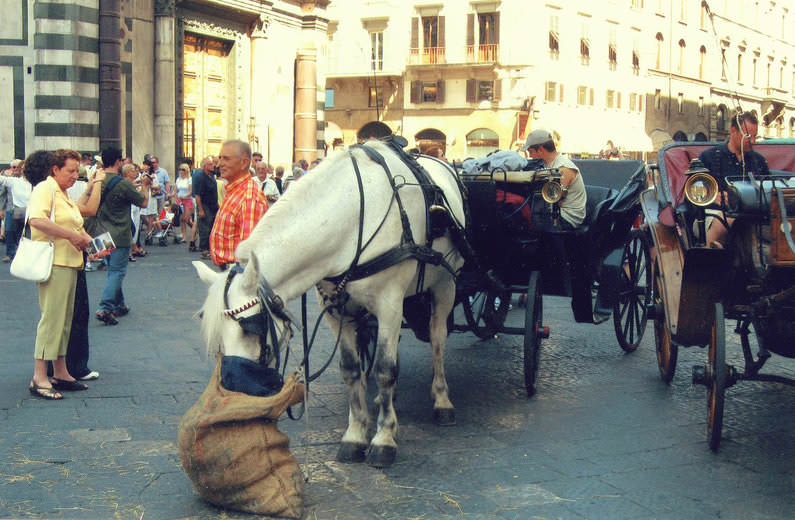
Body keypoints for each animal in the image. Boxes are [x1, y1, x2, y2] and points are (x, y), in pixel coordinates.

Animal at [194, 141, 466, 468]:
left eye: (252, 327)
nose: (235, 390)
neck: (353, 216)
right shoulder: (336, 309)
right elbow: (351, 369)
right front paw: (356, 433)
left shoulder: (389, 303)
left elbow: (385, 369)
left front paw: (384, 438)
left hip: (445, 284)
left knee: (437, 339)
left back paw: (442, 400)